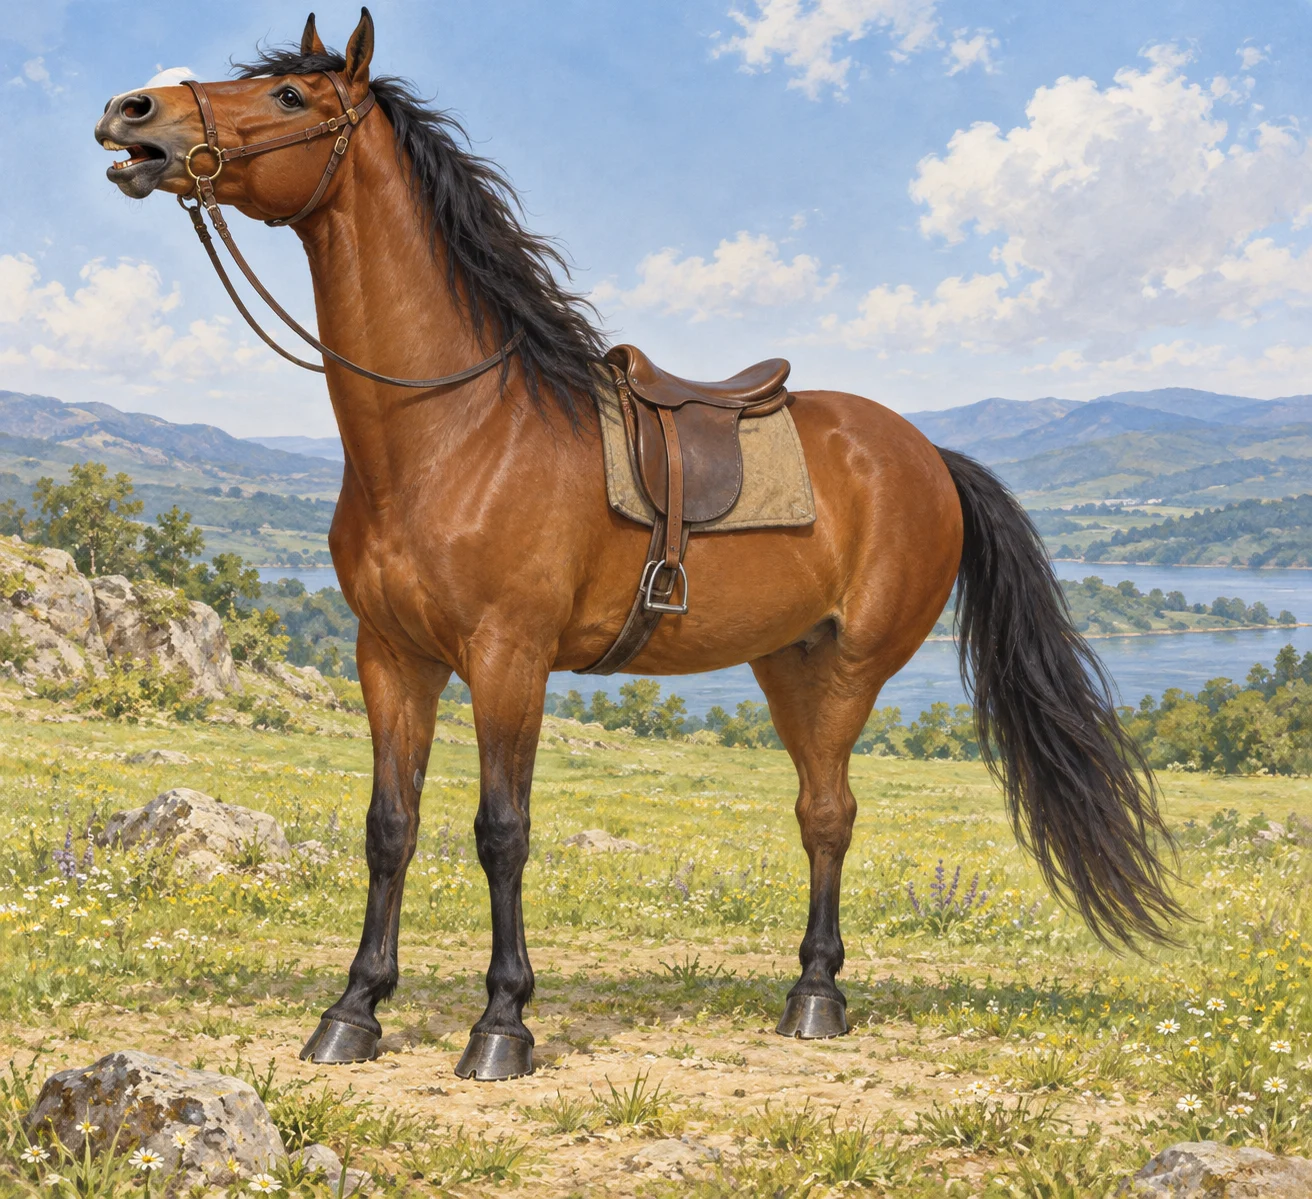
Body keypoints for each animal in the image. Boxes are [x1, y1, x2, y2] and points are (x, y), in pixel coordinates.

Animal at [96, 8, 1181, 1081]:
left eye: (289, 95)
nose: (132, 111)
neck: (455, 428)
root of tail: (925, 454)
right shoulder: (391, 655)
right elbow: (389, 828)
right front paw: (354, 1009)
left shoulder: (509, 657)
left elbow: (502, 831)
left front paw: (502, 1023)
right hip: (787, 662)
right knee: (816, 812)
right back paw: (809, 986)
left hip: (850, 667)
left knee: (832, 813)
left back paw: (817, 999)